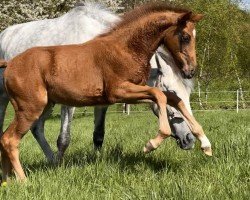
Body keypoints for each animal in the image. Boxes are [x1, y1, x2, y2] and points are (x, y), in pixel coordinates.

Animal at [0, 3, 211, 181]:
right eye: (186, 37)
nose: (190, 70)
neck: (124, 49)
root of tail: (10, 63)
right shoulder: (118, 91)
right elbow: (160, 95)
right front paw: (151, 144)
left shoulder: (123, 95)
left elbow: (170, 99)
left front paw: (205, 143)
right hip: (25, 106)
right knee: (9, 138)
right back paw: (24, 181)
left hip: (44, 104)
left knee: (17, 134)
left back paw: (8, 179)